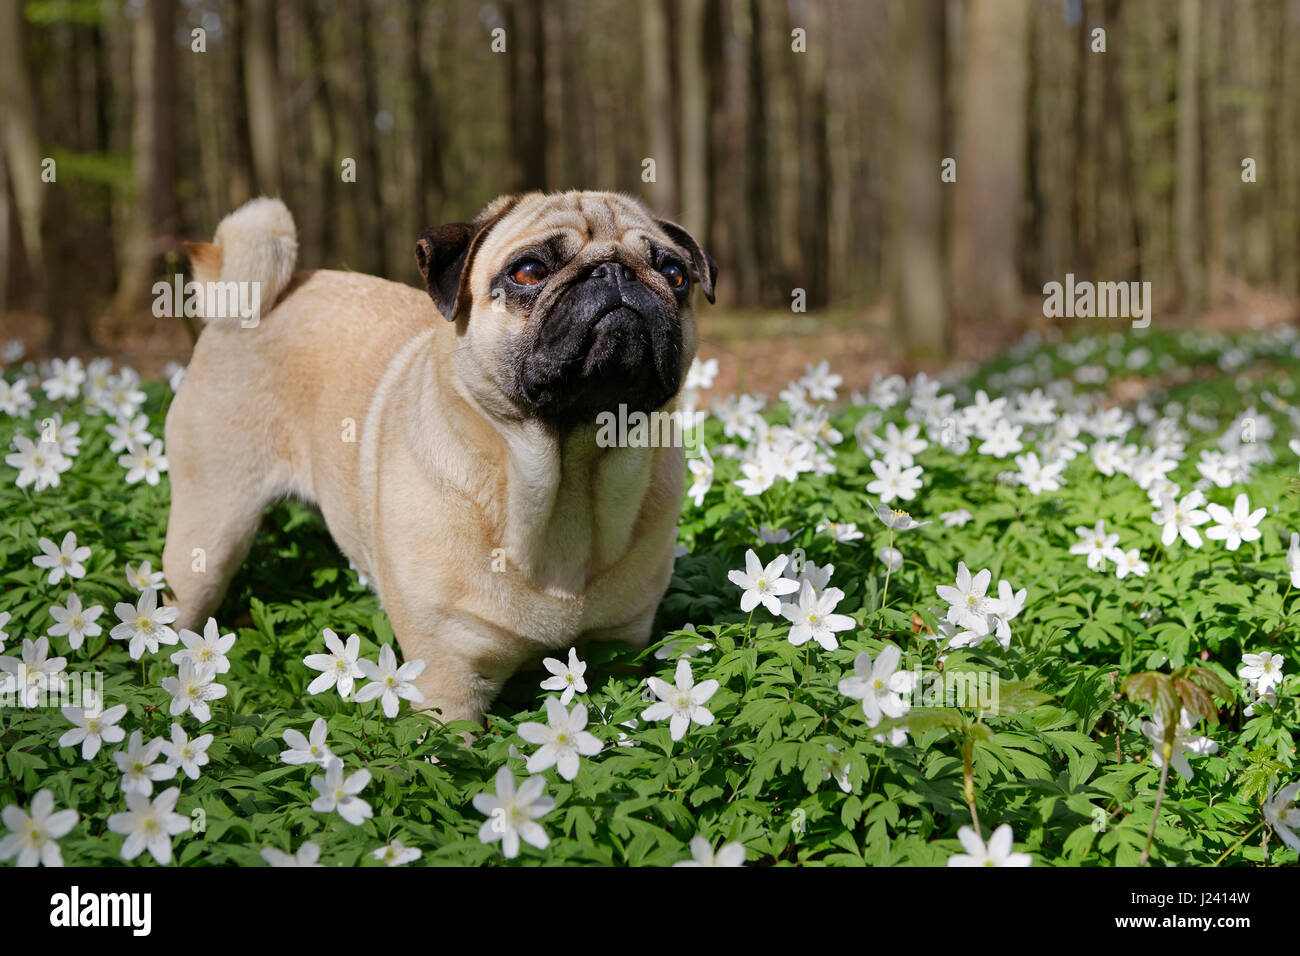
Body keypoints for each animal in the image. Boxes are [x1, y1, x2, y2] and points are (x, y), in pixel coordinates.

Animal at [161, 191, 717, 728]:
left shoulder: (618, 649)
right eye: (529, 271)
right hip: (208, 537)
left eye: (673, 273)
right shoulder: (448, 684)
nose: (614, 272)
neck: (569, 481)